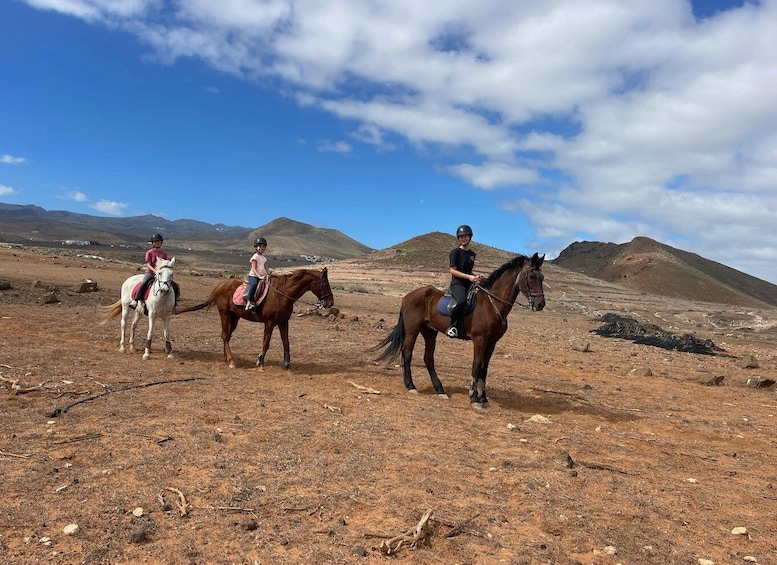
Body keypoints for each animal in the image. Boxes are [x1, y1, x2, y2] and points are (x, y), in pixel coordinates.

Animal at [176, 268, 334, 370]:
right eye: (326, 284)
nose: (330, 303)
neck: (282, 295)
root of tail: (220, 286)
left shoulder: (283, 322)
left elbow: (286, 342)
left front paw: (287, 364)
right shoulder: (269, 323)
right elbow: (266, 343)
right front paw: (260, 363)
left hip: (235, 317)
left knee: (226, 336)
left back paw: (226, 358)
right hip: (224, 313)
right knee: (225, 336)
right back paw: (231, 361)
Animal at [372, 253, 544, 408]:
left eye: (542, 278)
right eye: (531, 276)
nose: (541, 304)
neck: (492, 304)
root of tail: (408, 296)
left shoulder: (492, 342)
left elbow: (484, 369)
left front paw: (483, 398)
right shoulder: (479, 340)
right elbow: (477, 365)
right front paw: (474, 399)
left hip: (430, 332)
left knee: (428, 358)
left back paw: (440, 390)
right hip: (412, 330)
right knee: (407, 354)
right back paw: (411, 386)